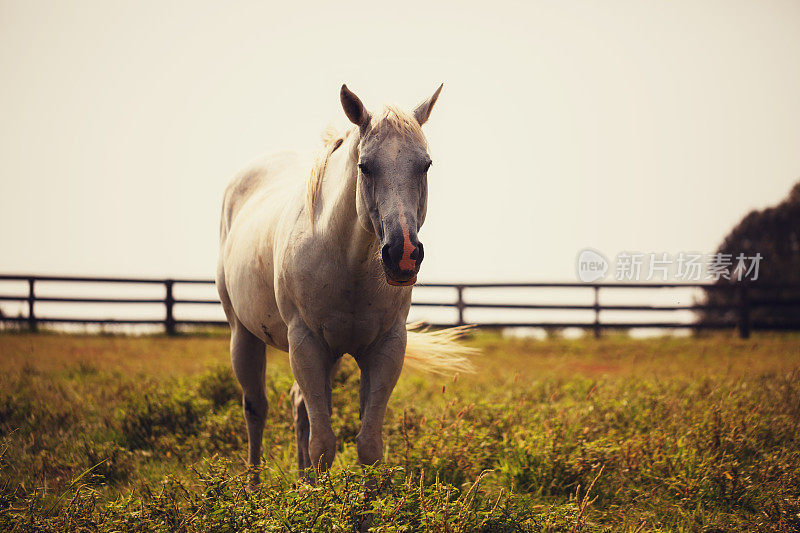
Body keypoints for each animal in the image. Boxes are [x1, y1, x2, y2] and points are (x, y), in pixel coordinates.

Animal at [216, 85, 472, 476]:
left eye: (425, 165)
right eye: (365, 166)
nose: (403, 254)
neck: (350, 268)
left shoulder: (385, 348)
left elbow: (368, 445)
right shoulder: (306, 344)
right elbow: (323, 445)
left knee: (298, 406)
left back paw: (302, 481)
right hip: (243, 334)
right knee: (256, 408)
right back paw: (253, 484)